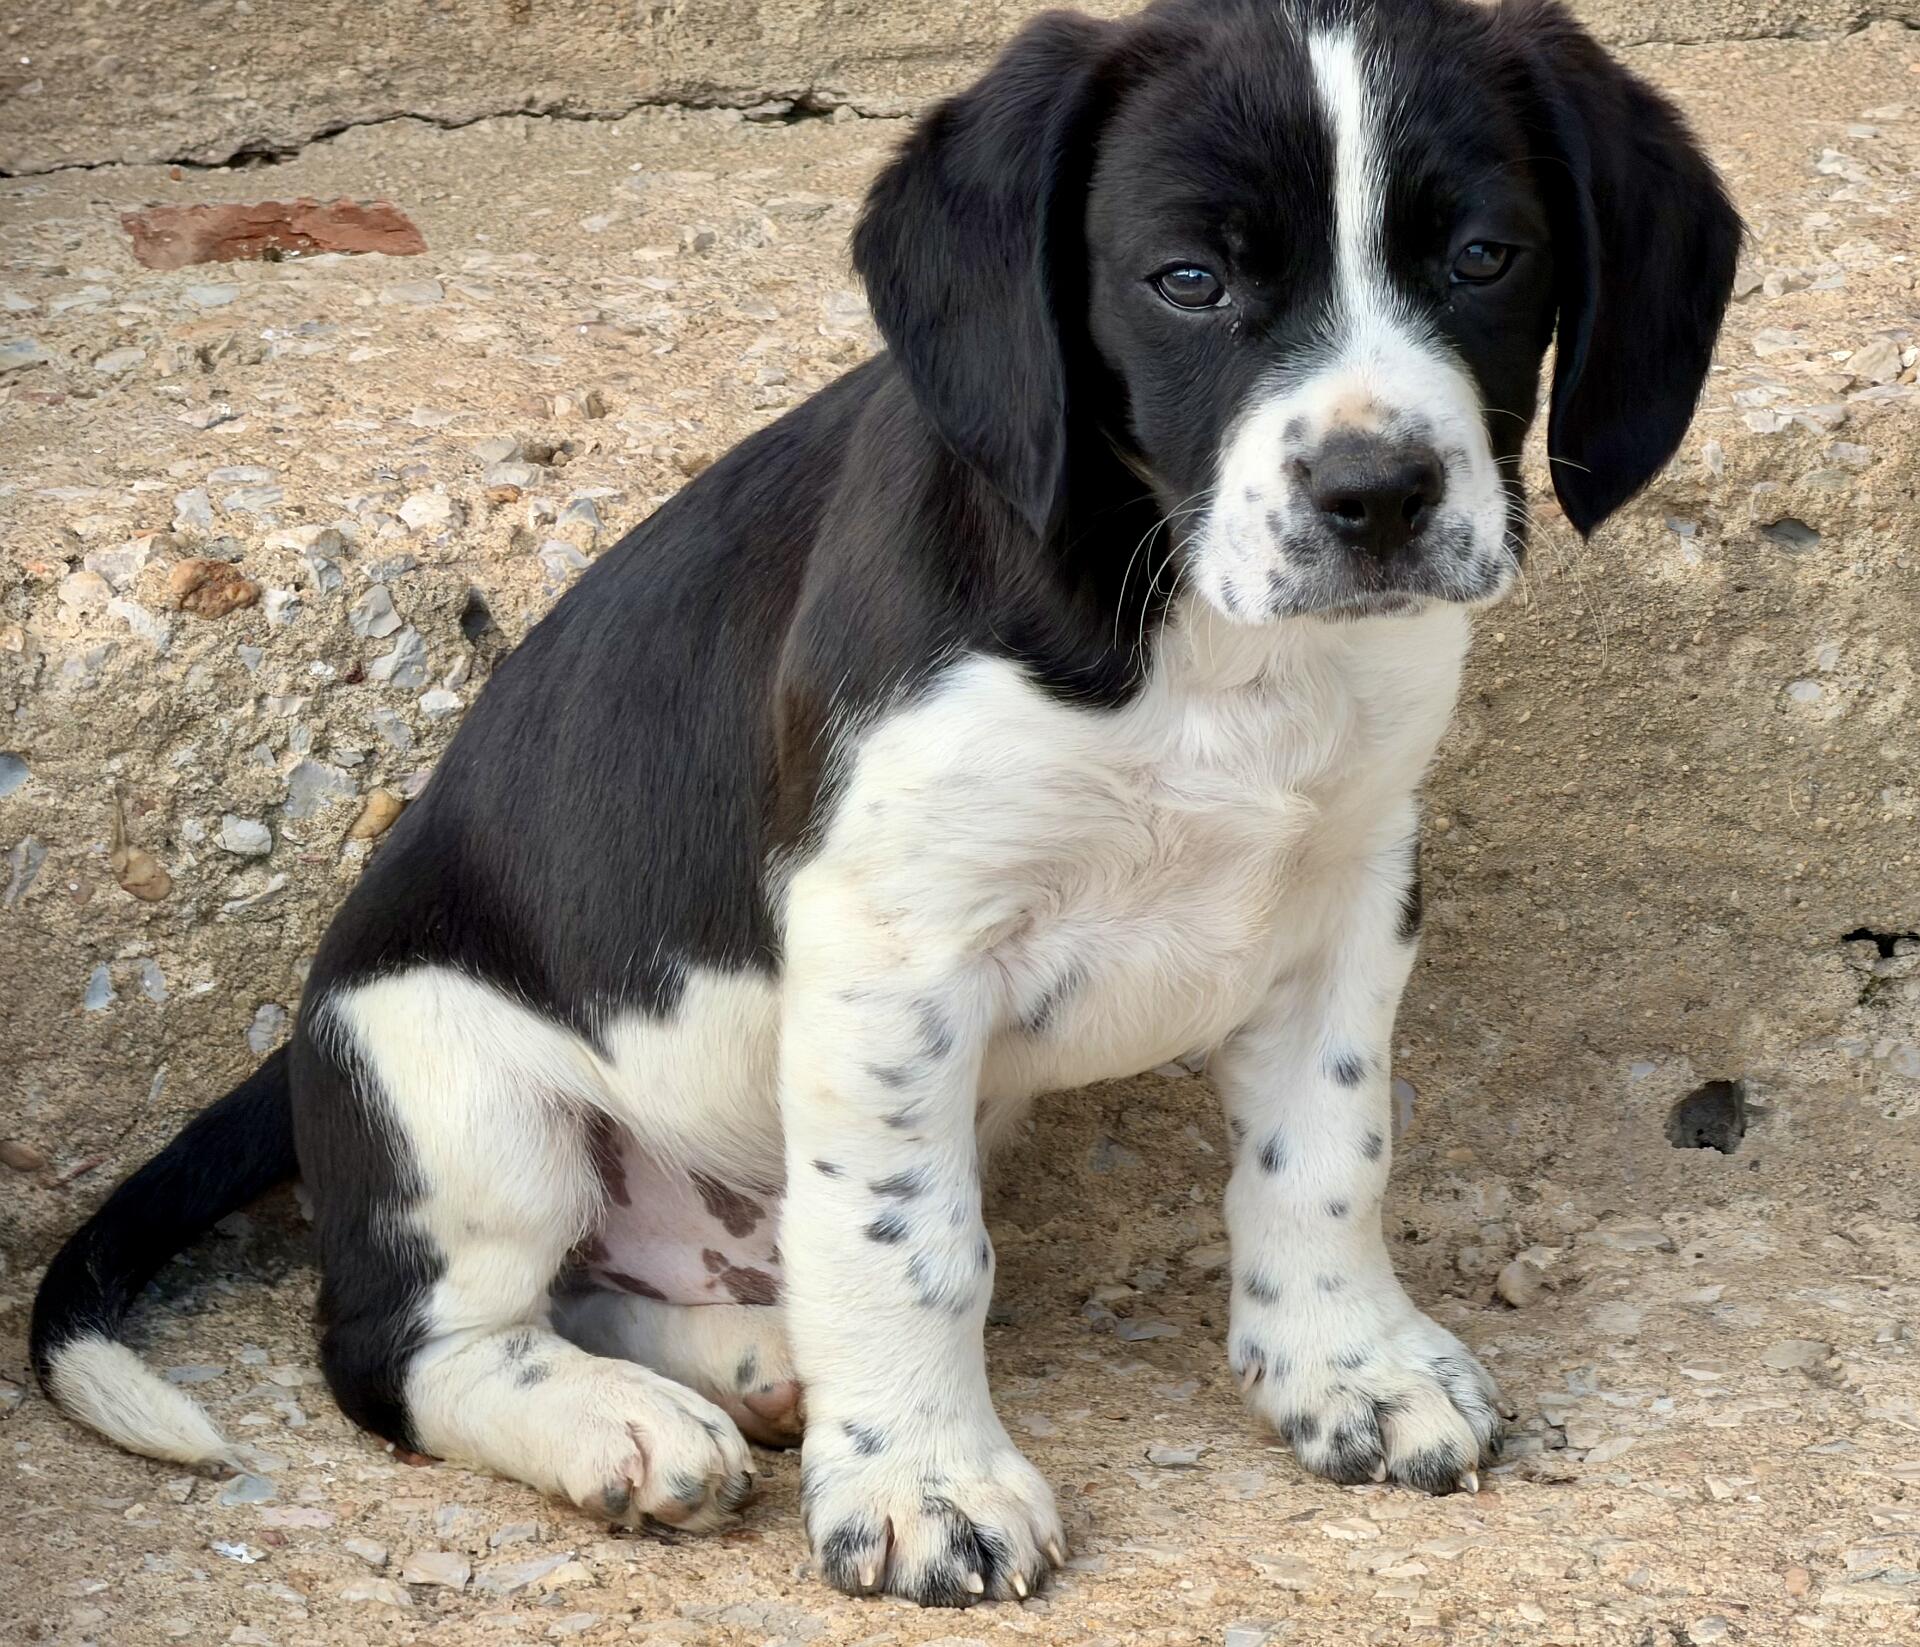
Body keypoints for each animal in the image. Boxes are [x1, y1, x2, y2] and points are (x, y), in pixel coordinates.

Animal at [32, 0, 1738, 1608]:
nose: (1377, 496)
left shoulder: (1349, 894)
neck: (1196, 633)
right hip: (454, 1087)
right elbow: (912, 1247)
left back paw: (746, 1358)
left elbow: (1326, 1152)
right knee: (406, 1342)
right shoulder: (894, 948)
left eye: (1485, 256)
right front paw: (925, 1482)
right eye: (1189, 279)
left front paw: (1348, 1367)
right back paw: (619, 1421)